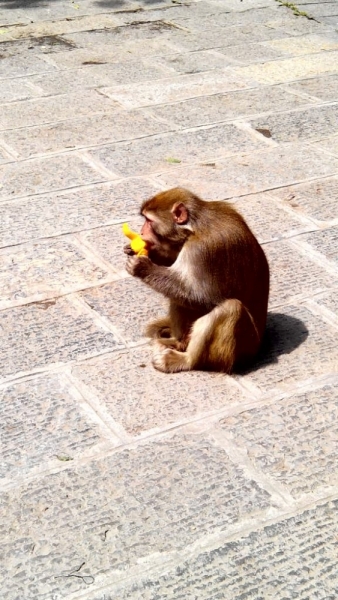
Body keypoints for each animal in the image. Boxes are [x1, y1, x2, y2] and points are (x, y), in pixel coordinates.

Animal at [124, 189, 270, 376]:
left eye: (149, 221)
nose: (141, 232)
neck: (195, 228)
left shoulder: (201, 250)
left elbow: (202, 297)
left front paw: (142, 267)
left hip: (243, 349)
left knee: (230, 308)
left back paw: (185, 360)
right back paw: (176, 343)